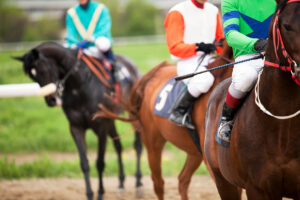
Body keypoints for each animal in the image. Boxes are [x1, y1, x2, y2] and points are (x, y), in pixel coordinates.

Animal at [14, 42, 144, 200]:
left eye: (43, 70)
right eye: (32, 77)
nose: (51, 100)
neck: (80, 86)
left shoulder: (101, 126)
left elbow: (100, 162)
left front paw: (100, 193)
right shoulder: (76, 127)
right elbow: (84, 163)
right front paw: (90, 193)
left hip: (132, 114)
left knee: (137, 145)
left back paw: (138, 184)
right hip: (111, 120)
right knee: (118, 145)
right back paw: (121, 184)